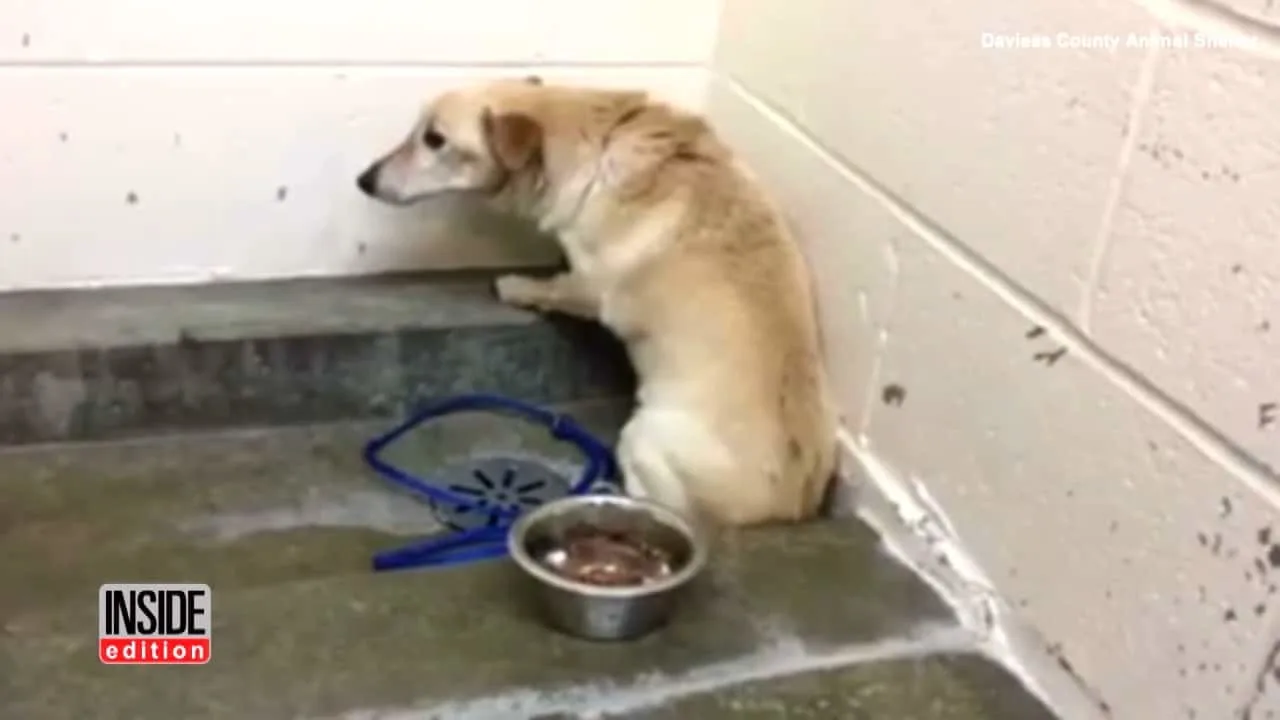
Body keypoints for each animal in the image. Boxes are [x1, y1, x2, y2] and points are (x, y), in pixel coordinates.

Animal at [358, 77, 839, 527]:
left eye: (435, 139)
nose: (364, 180)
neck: (590, 142)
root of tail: (791, 507)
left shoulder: (591, 288)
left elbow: (553, 288)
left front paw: (517, 286)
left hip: (642, 433)